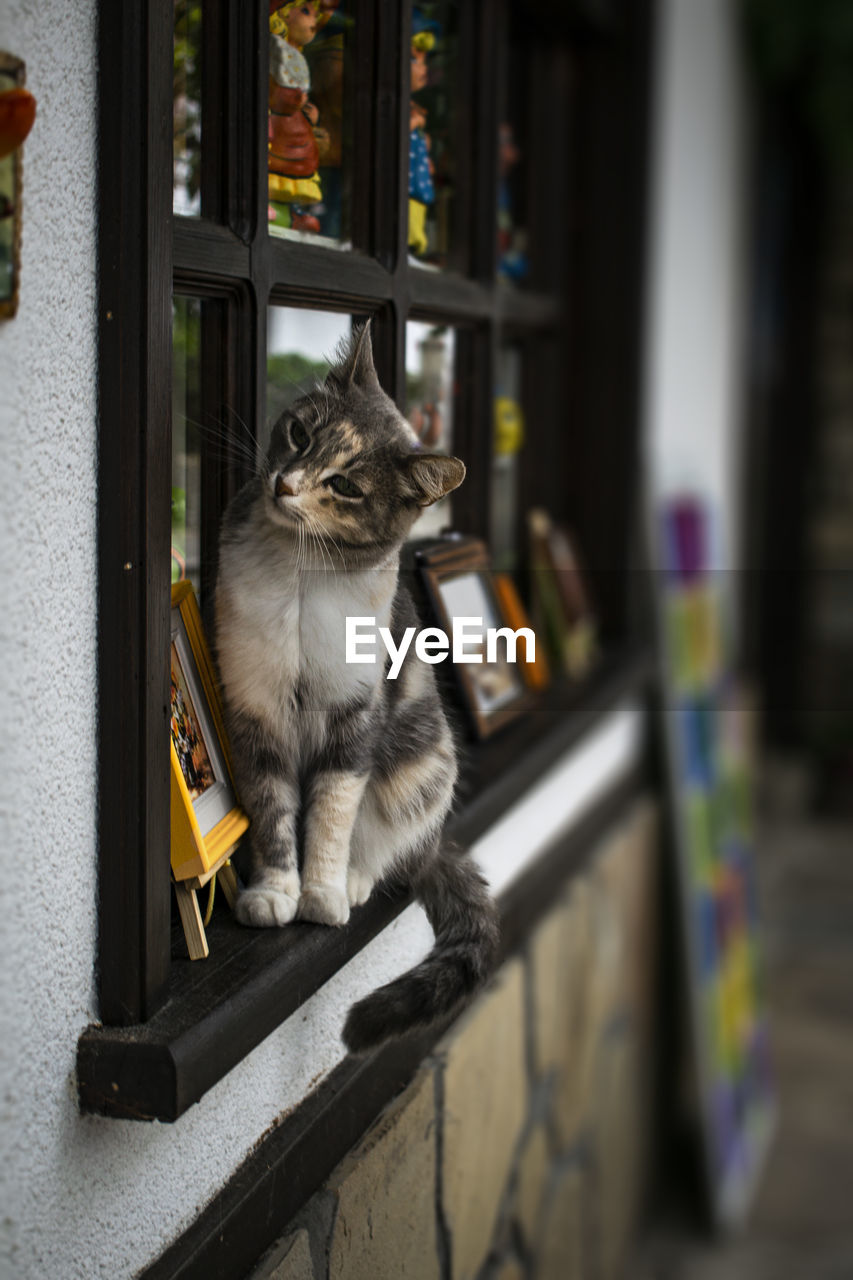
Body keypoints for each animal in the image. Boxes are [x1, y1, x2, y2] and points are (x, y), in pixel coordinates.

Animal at [211, 320, 499, 1049]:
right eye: (298, 432)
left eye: (343, 484)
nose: (286, 485)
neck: (297, 572)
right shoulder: (253, 706)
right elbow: (271, 804)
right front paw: (273, 893)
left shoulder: (355, 715)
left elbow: (334, 810)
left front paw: (321, 892)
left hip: (424, 766)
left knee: (391, 840)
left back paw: (359, 878)